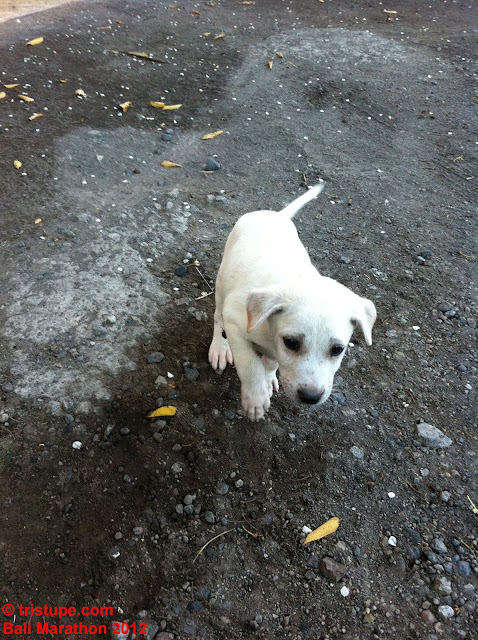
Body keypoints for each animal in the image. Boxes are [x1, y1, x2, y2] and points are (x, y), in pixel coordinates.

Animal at [208, 184, 377, 421]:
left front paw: (268, 379)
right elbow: (249, 365)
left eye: (337, 349)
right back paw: (220, 348)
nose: (310, 397)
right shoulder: (235, 319)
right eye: (291, 343)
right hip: (222, 285)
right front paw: (256, 399)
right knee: (218, 319)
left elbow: (270, 364)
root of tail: (275, 215)